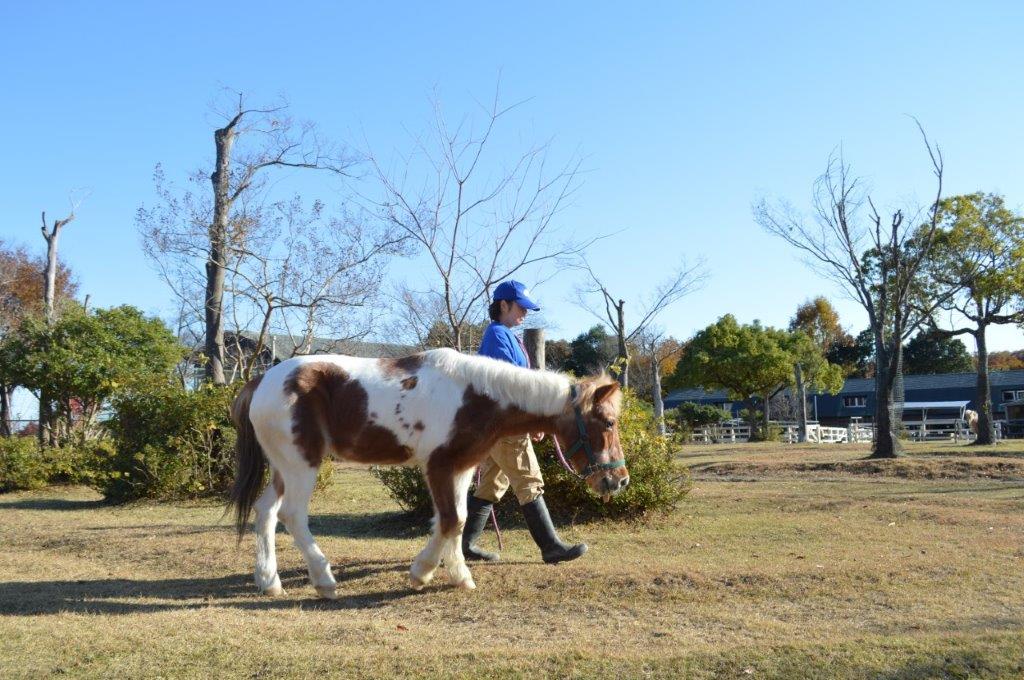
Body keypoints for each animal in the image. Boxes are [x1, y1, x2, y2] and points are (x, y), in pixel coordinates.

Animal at [228, 348, 626, 598]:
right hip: (301, 465)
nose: (619, 480)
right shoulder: (438, 466)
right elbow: (449, 520)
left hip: (283, 467)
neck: (477, 397)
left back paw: (269, 582)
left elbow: (461, 519)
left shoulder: (462, 468)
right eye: (608, 422)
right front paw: (424, 572)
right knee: (293, 515)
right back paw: (324, 581)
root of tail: (261, 381)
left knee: (265, 512)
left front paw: (455, 575)